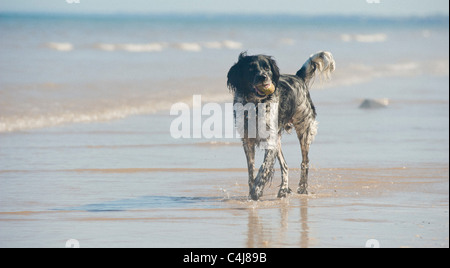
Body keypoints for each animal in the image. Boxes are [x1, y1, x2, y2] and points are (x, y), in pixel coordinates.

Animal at [227, 51, 336, 200]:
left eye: (267, 68)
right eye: (250, 68)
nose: (263, 77)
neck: (255, 104)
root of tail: (298, 77)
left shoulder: (270, 141)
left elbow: (264, 168)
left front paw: (257, 191)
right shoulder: (248, 141)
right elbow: (251, 171)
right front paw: (252, 192)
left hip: (304, 130)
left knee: (305, 162)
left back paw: (302, 188)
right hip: (278, 140)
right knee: (285, 165)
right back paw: (283, 189)